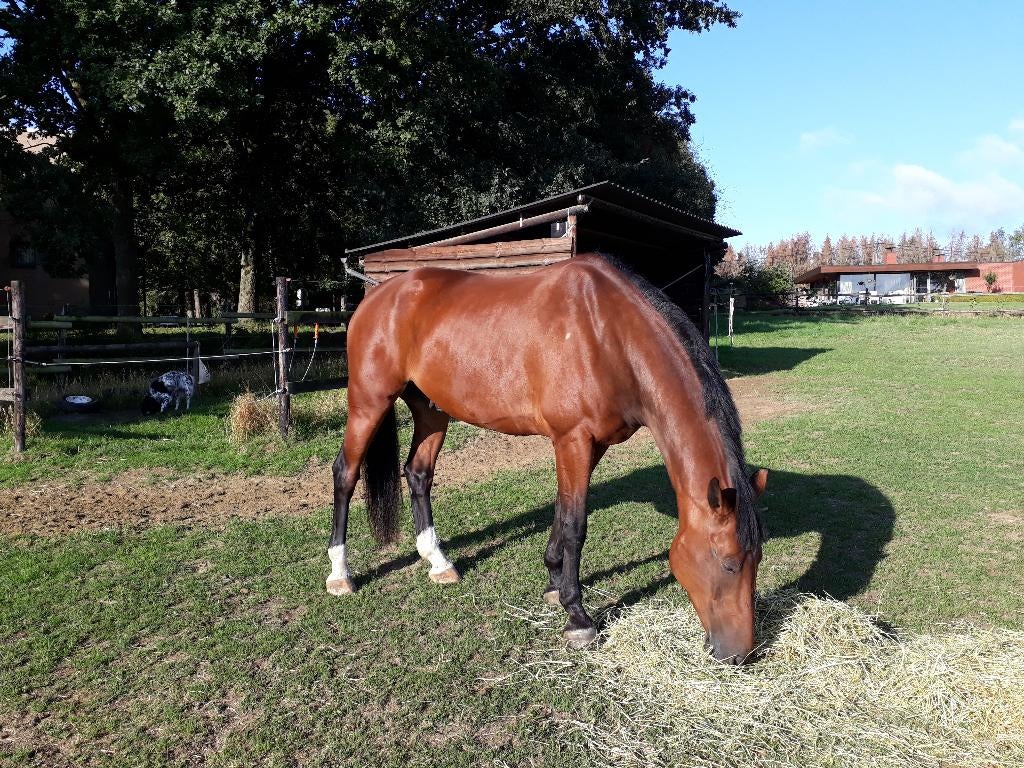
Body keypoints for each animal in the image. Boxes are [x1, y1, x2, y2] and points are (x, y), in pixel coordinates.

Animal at [326, 253, 768, 663]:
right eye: (729, 563)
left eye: (757, 558)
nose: (739, 654)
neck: (608, 334)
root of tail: (376, 296)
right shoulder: (573, 439)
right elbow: (576, 525)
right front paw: (578, 617)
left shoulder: (590, 444)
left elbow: (562, 511)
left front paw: (555, 583)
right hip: (369, 402)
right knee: (345, 474)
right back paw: (340, 574)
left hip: (431, 409)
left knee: (418, 474)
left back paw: (438, 562)